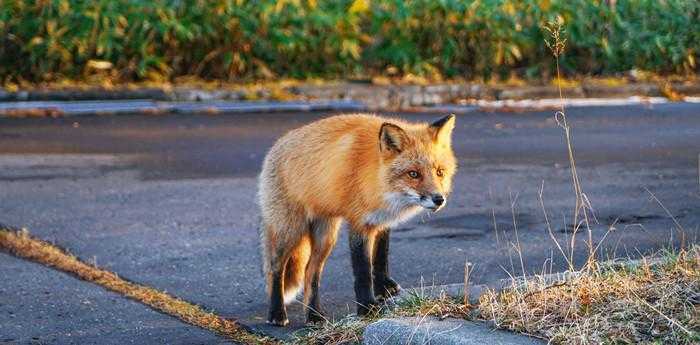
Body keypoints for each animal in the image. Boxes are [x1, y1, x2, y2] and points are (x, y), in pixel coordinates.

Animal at [260, 113, 456, 326]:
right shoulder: (359, 223)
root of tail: (276, 145)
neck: (377, 179)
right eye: (413, 174)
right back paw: (277, 313)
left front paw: (383, 288)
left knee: (310, 273)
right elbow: (363, 271)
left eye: (439, 172)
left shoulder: (382, 221)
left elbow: (380, 258)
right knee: (275, 268)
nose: (439, 199)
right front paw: (367, 307)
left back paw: (314, 315)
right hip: (290, 231)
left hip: (325, 238)